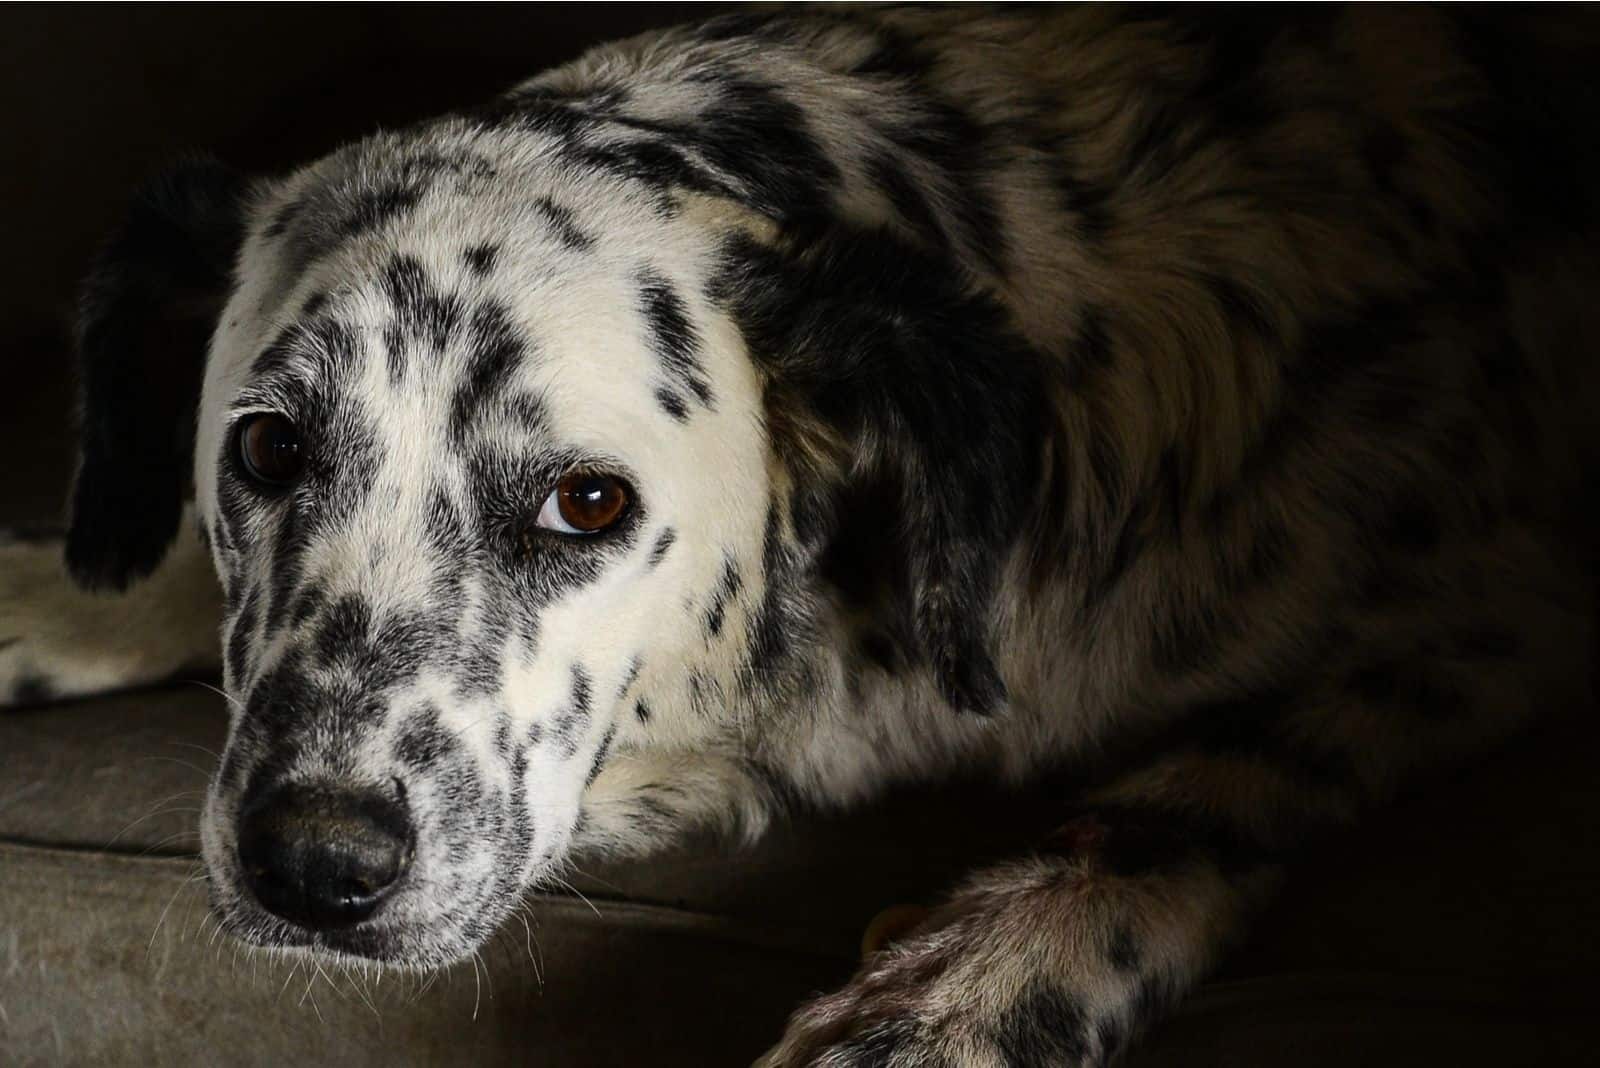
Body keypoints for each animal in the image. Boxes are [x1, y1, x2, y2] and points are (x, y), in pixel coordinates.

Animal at [3, 8, 1600, 1068]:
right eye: (269, 447)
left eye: (589, 503)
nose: (313, 867)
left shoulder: (1495, 612)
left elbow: (1208, 787)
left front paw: (968, 988)